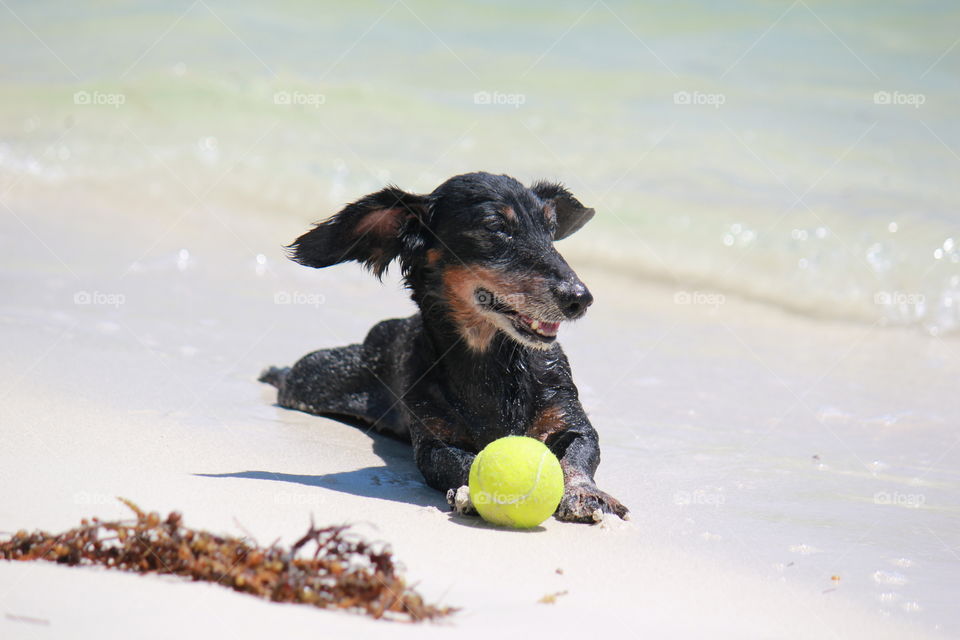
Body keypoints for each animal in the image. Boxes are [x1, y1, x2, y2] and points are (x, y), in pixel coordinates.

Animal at [258, 172, 628, 524]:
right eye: (495, 226)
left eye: (550, 228)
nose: (579, 298)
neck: (491, 363)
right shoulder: (435, 444)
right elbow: (460, 462)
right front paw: (469, 492)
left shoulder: (571, 420)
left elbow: (580, 454)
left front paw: (586, 494)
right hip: (313, 380)